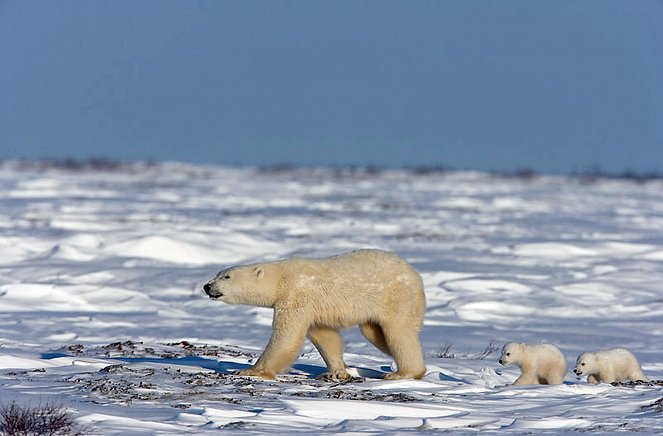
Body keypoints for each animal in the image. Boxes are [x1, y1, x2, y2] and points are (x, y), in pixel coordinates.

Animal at [204, 250, 430, 380]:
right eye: (218, 274)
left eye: (226, 276)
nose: (207, 286)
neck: (281, 278)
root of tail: (416, 275)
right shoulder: (312, 308)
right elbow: (324, 337)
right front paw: (335, 372)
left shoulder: (296, 296)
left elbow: (286, 337)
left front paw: (251, 371)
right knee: (376, 334)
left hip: (396, 297)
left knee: (398, 332)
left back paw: (403, 373)